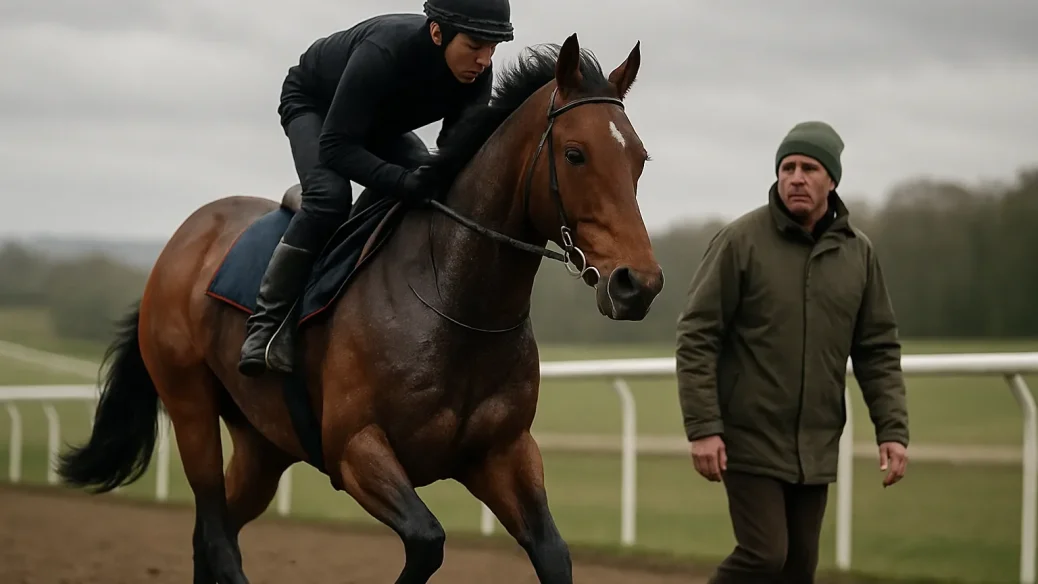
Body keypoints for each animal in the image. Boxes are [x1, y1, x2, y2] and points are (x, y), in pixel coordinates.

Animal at [55, 33, 664, 584]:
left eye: (639, 158)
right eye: (575, 154)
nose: (638, 284)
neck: (454, 302)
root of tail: (183, 239)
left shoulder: (502, 452)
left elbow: (553, 554)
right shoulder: (354, 448)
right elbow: (427, 542)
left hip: (263, 442)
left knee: (214, 534)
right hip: (190, 408)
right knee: (216, 535)